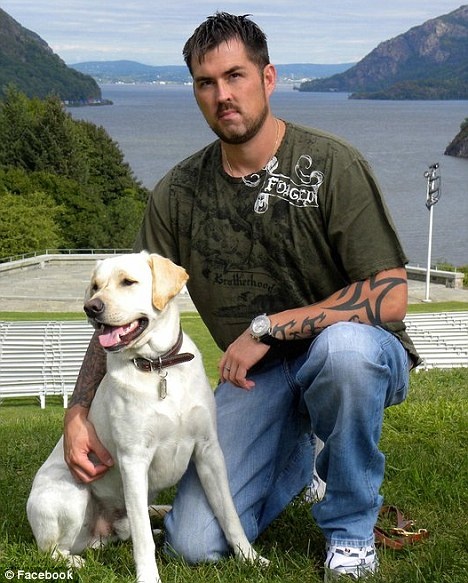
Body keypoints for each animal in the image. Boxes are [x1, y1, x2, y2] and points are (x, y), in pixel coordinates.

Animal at [27, 252, 266, 583]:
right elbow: (143, 539)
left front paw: (250, 558)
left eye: (128, 282)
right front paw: (148, 577)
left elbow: (230, 515)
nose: (91, 308)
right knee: (51, 550)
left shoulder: (209, 451)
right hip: (72, 494)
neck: (159, 366)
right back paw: (74, 562)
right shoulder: (133, 459)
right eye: (95, 286)